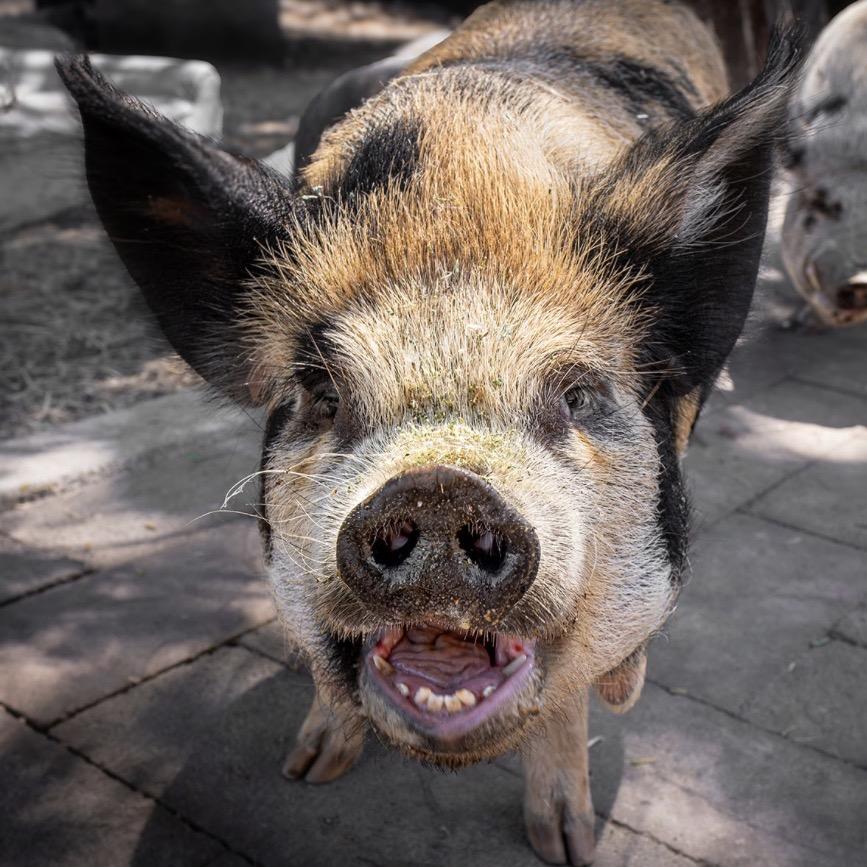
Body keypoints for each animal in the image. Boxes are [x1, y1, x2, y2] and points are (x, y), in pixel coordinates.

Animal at [57, 2, 799, 863]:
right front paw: (307, 770)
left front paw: (566, 843)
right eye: (321, 391)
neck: (455, 192)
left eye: (577, 394)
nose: (439, 484)